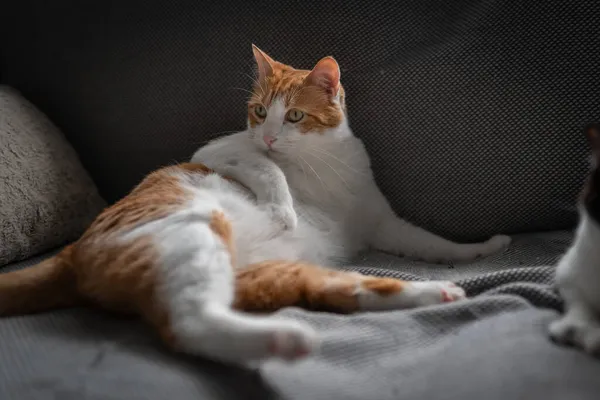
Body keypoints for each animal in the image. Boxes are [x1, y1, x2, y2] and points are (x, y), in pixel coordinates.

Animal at [0, 44, 510, 366]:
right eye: (261, 112)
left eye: (296, 115)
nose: (268, 136)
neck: (324, 166)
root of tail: (71, 253)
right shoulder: (220, 151)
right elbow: (270, 171)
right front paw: (283, 211)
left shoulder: (383, 225)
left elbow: (434, 243)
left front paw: (481, 249)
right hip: (192, 232)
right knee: (188, 323)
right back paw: (287, 337)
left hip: (267, 273)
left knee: (336, 290)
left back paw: (436, 293)